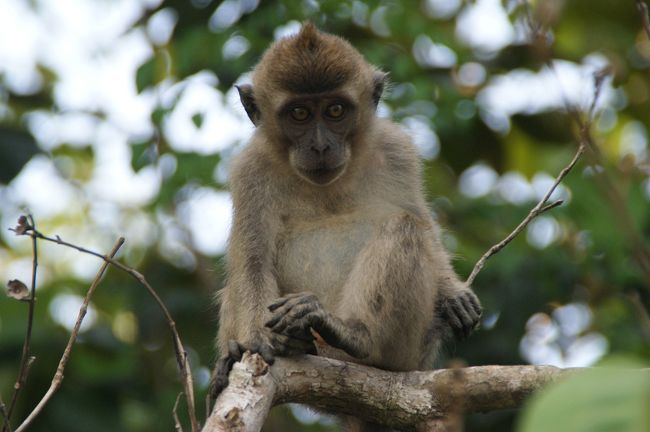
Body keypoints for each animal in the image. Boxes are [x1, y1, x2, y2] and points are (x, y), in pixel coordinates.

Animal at [210, 22, 478, 432]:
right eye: (300, 114)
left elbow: (420, 221)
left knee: (404, 228)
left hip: (412, 351)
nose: (321, 146)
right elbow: (252, 264)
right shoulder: (250, 171)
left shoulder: (396, 149)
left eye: (336, 110)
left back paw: (354, 335)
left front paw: (453, 293)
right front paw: (255, 341)